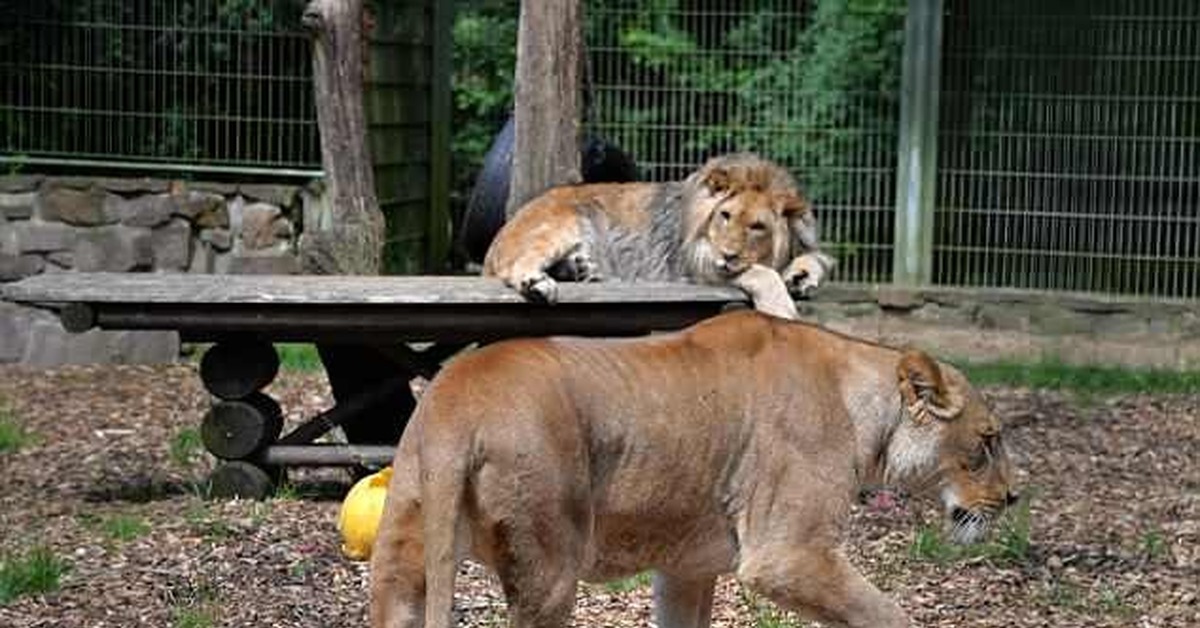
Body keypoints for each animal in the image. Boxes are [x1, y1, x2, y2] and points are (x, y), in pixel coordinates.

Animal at [369, 309, 1017, 628]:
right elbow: (886, 613)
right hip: (549, 571)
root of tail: (457, 404)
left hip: (400, 561)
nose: (1012, 500)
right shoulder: (787, 554)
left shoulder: (687, 567)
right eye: (988, 440)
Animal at [477, 153, 835, 319]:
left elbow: (818, 258)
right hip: (561, 224)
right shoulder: (694, 264)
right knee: (515, 265)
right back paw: (538, 284)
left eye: (758, 227)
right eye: (725, 216)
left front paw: (801, 275)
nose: (728, 255)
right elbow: (761, 273)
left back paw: (581, 270)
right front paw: (782, 308)